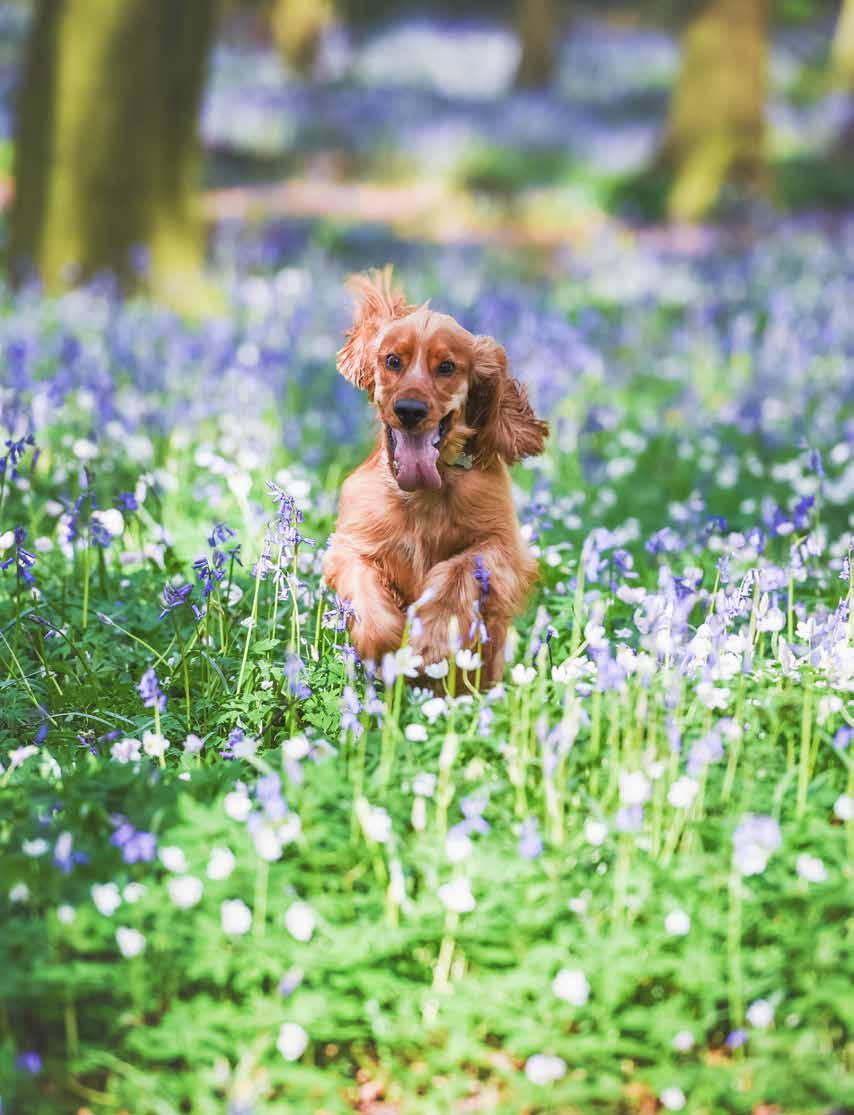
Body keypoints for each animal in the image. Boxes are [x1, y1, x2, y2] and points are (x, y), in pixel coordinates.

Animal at [323, 267, 548, 687]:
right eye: (392, 360)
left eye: (446, 367)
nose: (410, 409)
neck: (422, 496)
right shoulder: (352, 543)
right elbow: (364, 586)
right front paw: (386, 646)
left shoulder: (503, 546)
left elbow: (460, 569)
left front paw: (430, 639)